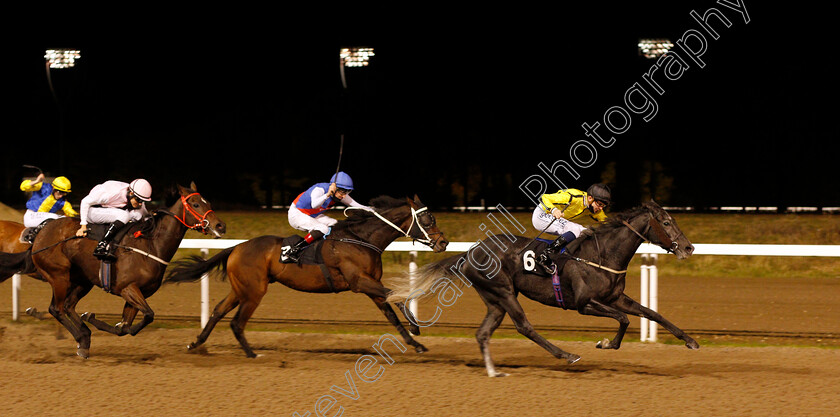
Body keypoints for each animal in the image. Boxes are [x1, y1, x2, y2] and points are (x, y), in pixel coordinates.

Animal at [0, 183, 226, 358]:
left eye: (208, 202)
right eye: (195, 204)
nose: (220, 226)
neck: (150, 245)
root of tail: (40, 234)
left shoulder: (137, 294)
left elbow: (126, 327)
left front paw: (96, 320)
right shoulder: (127, 288)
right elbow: (148, 315)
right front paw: (94, 321)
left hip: (82, 280)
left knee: (68, 306)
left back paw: (84, 338)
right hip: (59, 276)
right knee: (57, 308)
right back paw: (81, 336)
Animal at [167, 195, 450, 358]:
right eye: (428, 218)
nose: (443, 242)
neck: (361, 239)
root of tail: (236, 247)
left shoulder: (371, 285)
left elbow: (391, 312)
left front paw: (415, 343)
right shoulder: (360, 282)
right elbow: (396, 296)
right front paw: (415, 326)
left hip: (240, 289)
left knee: (217, 311)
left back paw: (196, 344)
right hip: (254, 291)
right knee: (236, 322)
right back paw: (251, 354)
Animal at [386, 200, 696, 376]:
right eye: (666, 222)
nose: (688, 248)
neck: (603, 254)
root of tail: (470, 252)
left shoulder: (615, 297)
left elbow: (650, 313)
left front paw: (690, 340)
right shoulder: (584, 304)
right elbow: (624, 319)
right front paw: (606, 343)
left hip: (495, 299)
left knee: (483, 333)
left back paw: (493, 372)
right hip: (504, 292)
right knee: (524, 326)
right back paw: (567, 355)